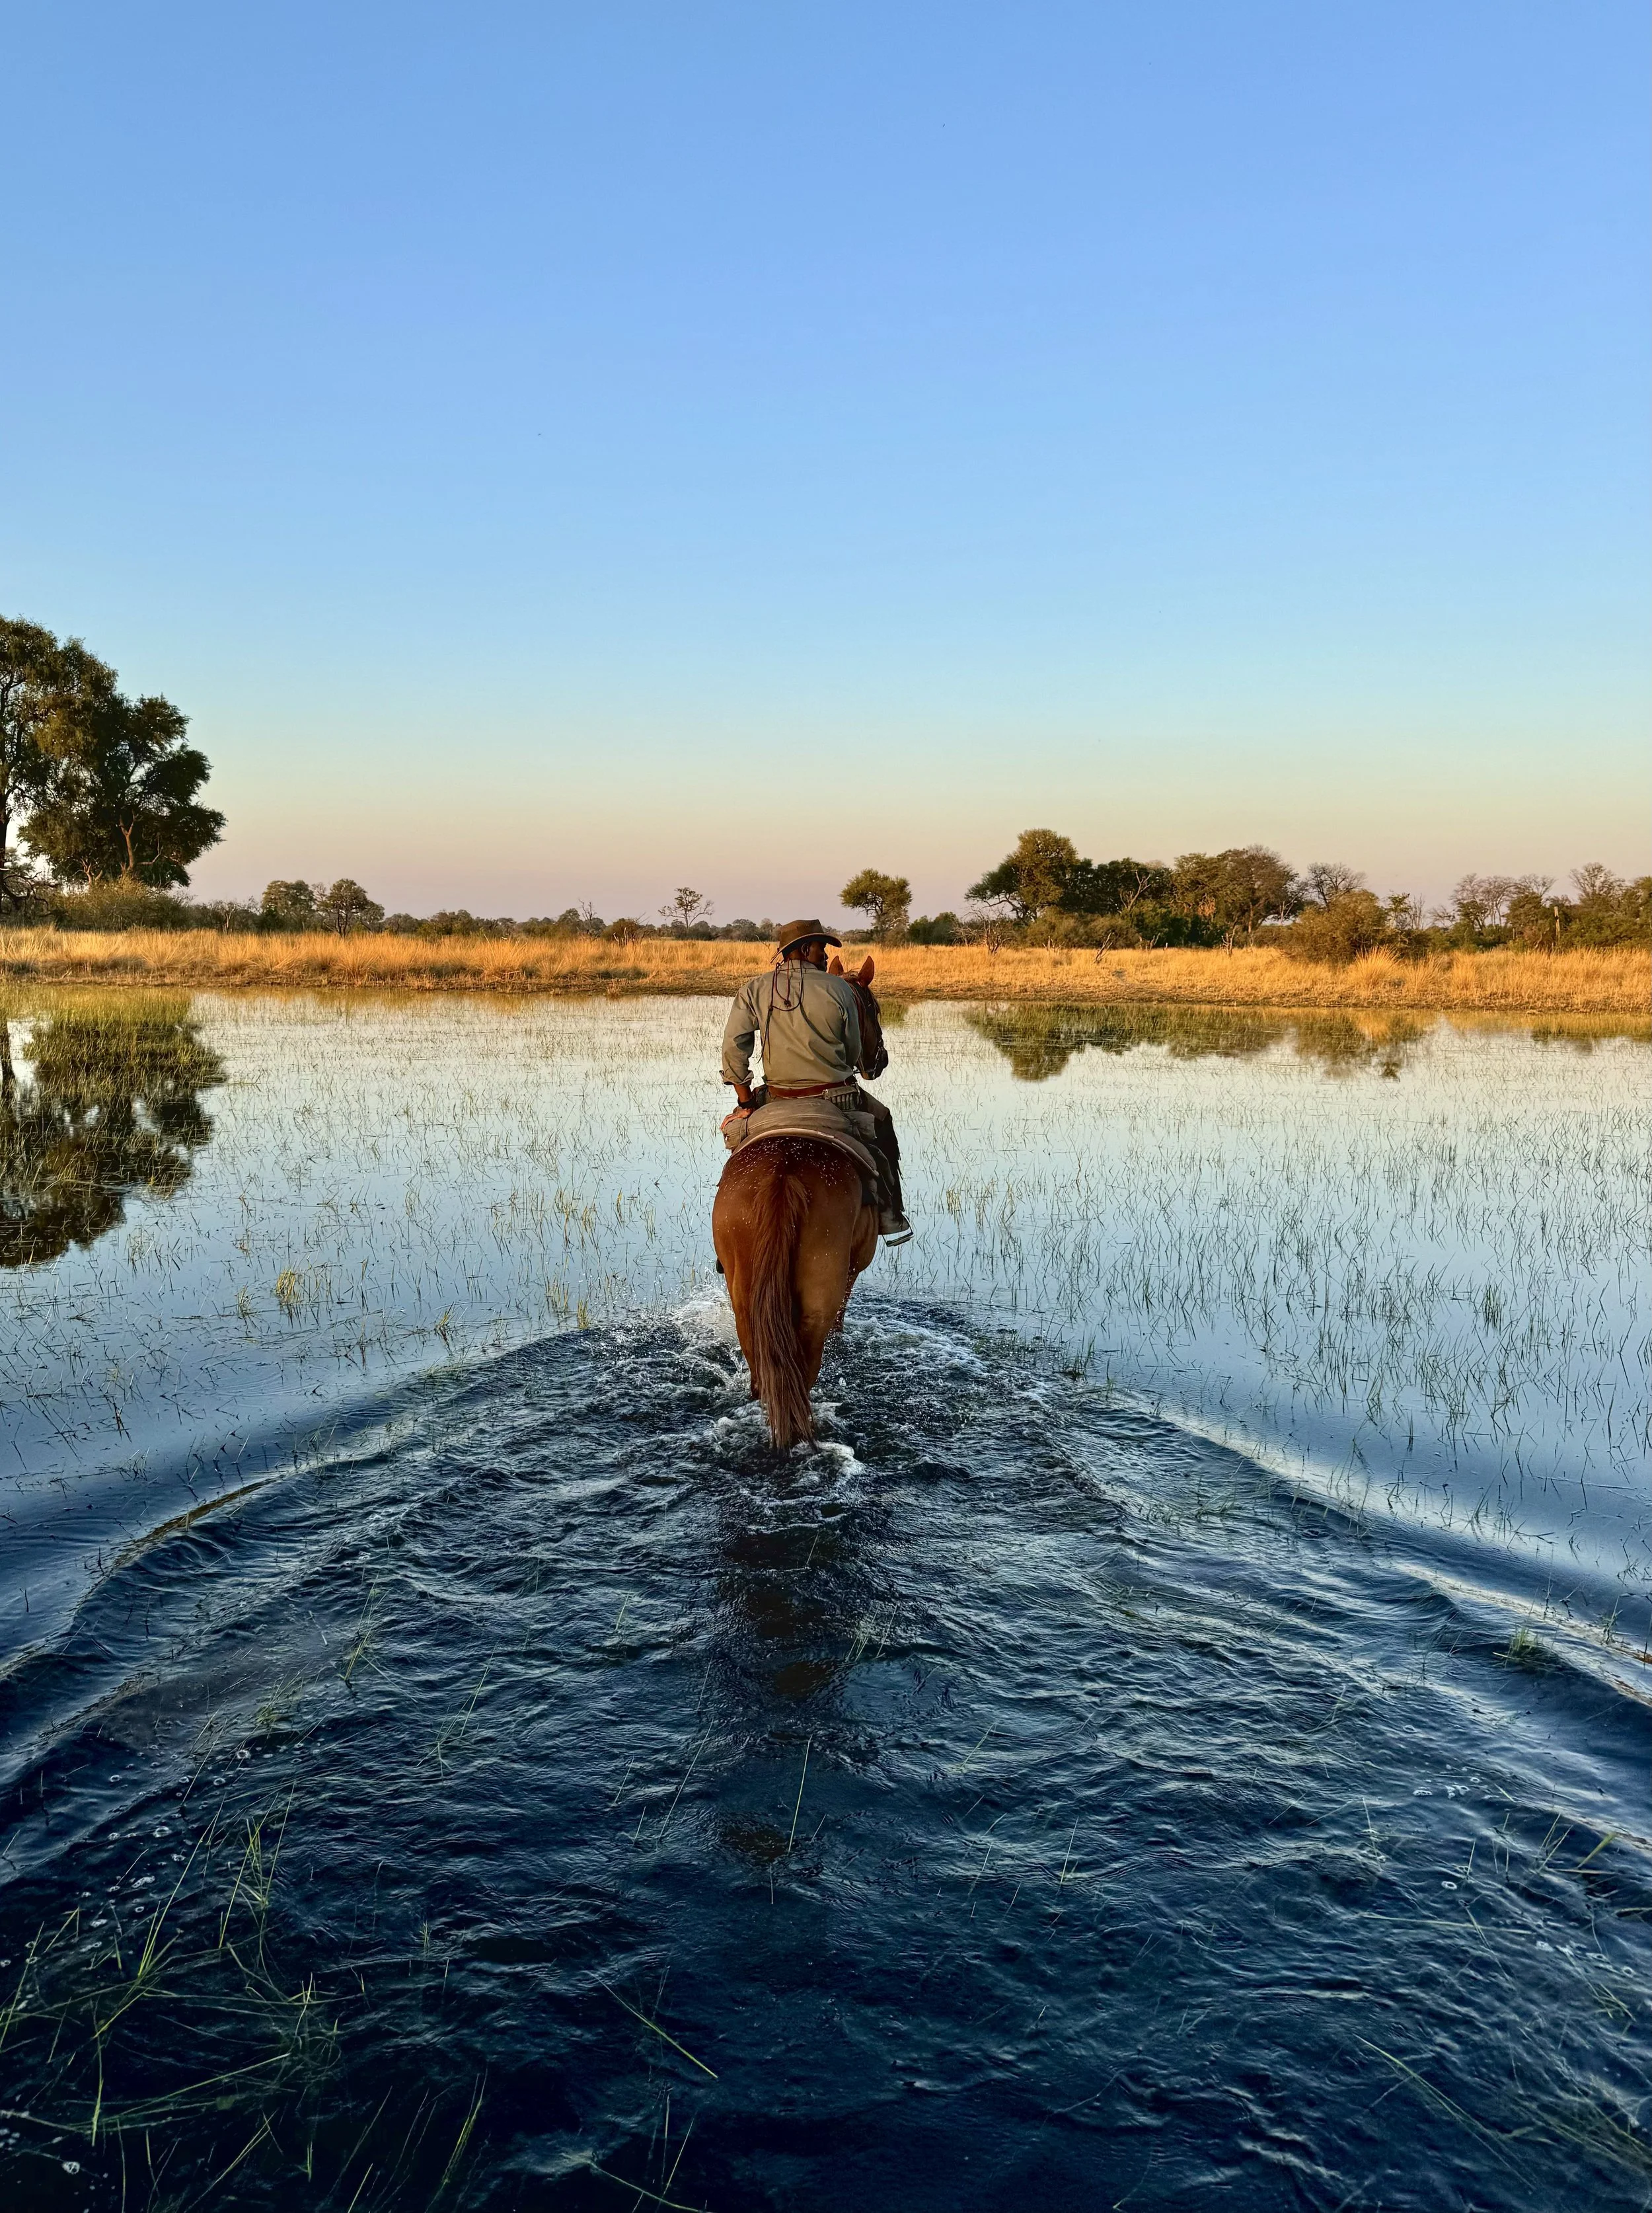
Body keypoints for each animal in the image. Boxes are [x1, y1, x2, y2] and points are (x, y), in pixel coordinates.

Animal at [712, 956, 887, 1449]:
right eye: (874, 1008)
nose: (880, 1060)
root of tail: (784, 1173)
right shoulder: (853, 1269)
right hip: (819, 1292)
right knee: (805, 1363)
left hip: (745, 1289)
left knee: (763, 1366)